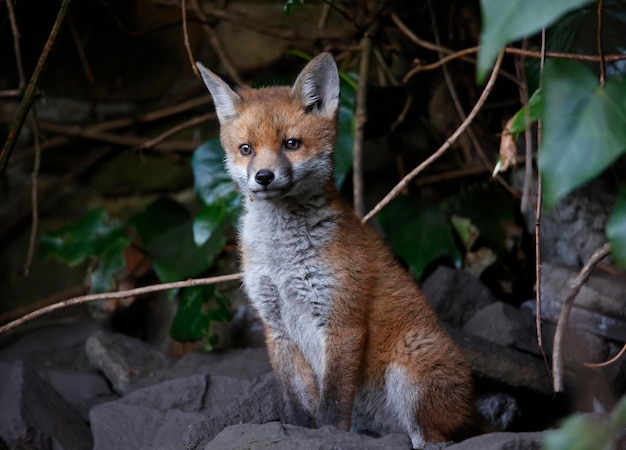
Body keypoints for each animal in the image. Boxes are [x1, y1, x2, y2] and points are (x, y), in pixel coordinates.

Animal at [197, 51, 476, 446]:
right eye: (246, 149)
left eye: (291, 144)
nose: (263, 177)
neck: (283, 261)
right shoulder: (276, 325)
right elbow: (296, 403)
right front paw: (292, 434)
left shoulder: (342, 321)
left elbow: (331, 406)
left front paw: (327, 437)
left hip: (408, 373)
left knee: (433, 439)